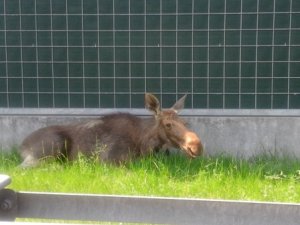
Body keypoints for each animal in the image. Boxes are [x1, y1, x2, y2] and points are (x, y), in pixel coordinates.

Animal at [19, 93, 204, 167]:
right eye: (168, 124)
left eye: (185, 122)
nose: (196, 146)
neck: (144, 144)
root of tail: (21, 146)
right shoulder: (109, 161)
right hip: (50, 148)